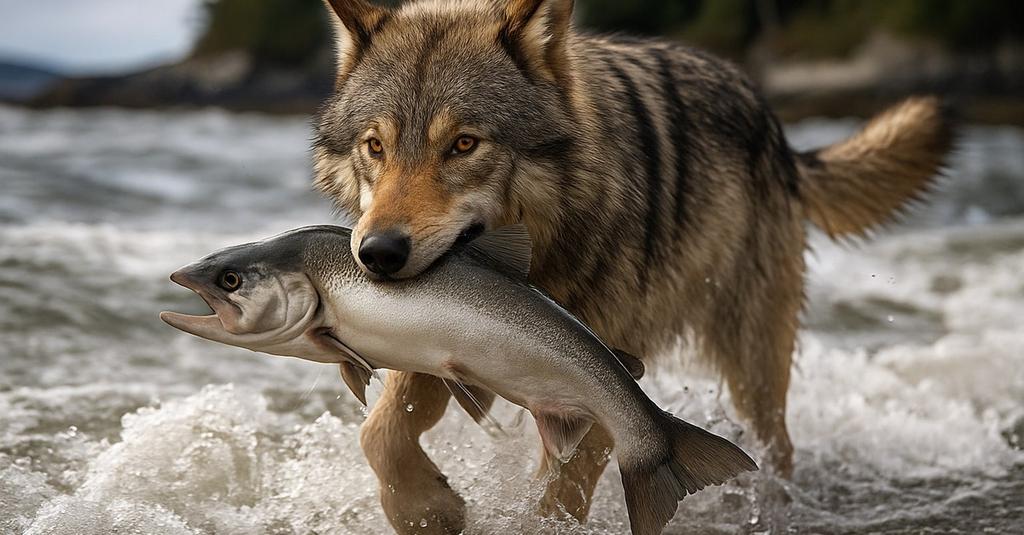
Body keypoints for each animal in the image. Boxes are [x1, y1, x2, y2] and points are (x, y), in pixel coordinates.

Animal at [311, 0, 953, 532]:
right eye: (375, 147)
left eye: (464, 144)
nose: (377, 254)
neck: (547, 257)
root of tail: (776, 129)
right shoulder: (446, 344)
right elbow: (379, 435)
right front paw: (429, 511)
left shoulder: (597, 377)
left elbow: (563, 495)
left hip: (752, 362)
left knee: (778, 449)